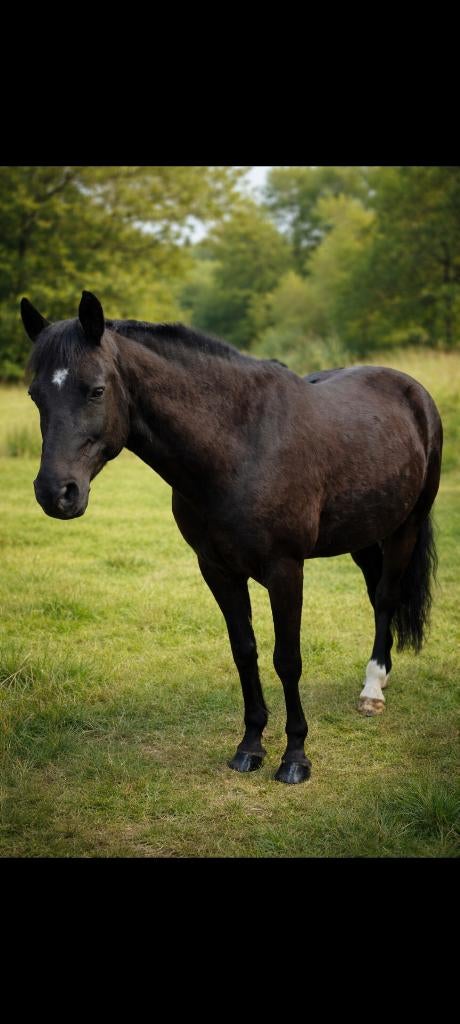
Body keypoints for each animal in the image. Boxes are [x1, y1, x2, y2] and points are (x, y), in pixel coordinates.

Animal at [20, 291, 443, 784]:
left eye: (96, 390)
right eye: (35, 395)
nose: (56, 492)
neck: (240, 443)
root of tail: (413, 391)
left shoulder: (285, 570)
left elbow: (287, 659)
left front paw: (295, 757)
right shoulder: (217, 570)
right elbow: (245, 651)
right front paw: (250, 745)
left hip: (406, 527)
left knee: (386, 598)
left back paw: (373, 688)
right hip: (364, 533)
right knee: (376, 594)